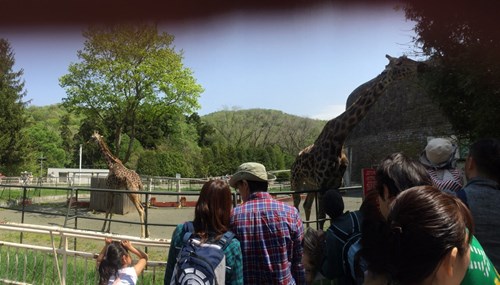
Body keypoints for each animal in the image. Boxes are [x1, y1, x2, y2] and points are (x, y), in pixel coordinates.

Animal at [292, 55, 424, 229]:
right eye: (399, 62)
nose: (420, 66)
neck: (339, 137)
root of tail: (295, 160)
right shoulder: (322, 183)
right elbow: (321, 217)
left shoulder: (335, 183)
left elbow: (332, 214)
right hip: (296, 181)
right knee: (296, 204)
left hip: (310, 184)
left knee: (306, 205)